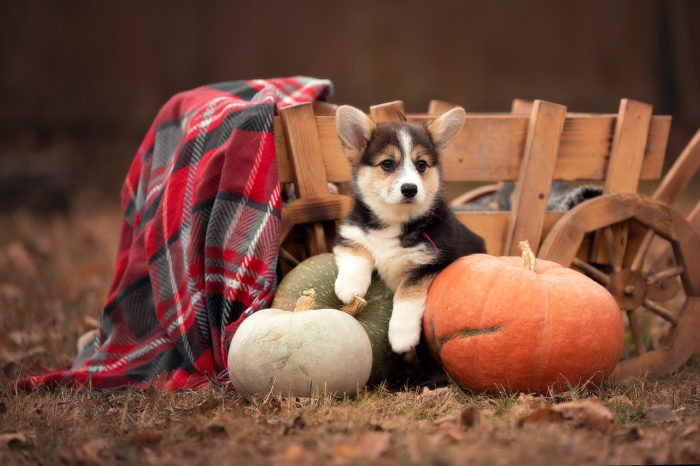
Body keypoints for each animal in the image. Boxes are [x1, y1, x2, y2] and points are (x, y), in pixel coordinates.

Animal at [334, 105, 486, 354]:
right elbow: (358, 251)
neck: (395, 220)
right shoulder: (350, 233)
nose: (410, 189)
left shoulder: (433, 264)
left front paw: (401, 335)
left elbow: (406, 293)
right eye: (387, 164)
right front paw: (349, 286)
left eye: (421, 164)